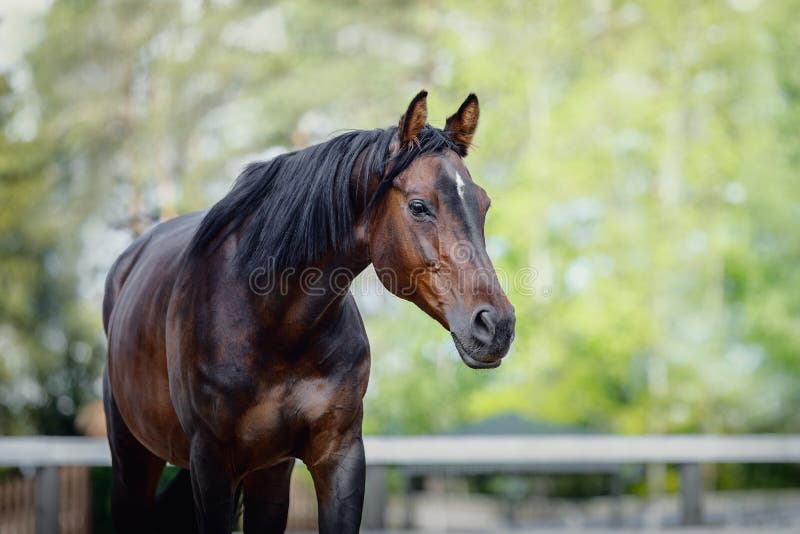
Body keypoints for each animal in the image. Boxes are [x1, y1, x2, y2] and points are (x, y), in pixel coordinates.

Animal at [103, 93, 516, 534]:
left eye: (484, 204)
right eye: (419, 206)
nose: (497, 325)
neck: (272, 322)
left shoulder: (339, 456)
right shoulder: (210, 465)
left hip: (267, 473)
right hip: (133, 462)